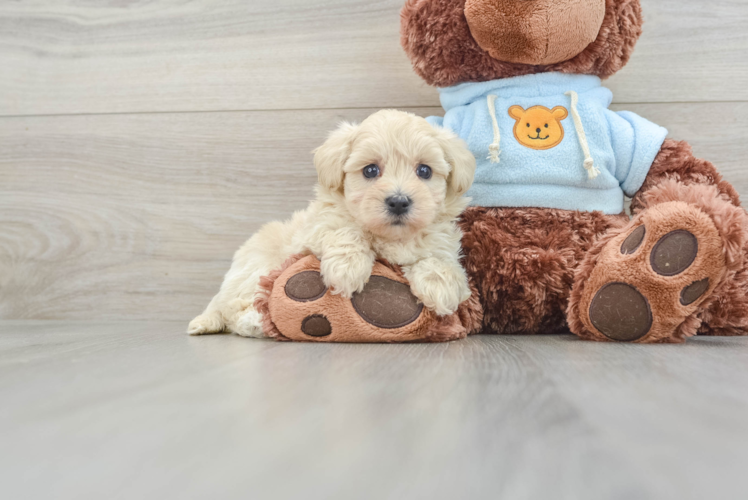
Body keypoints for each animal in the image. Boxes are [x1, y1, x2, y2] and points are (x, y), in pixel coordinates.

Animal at [190, 108, 476, 336]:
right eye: (370, 170)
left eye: (424, 171)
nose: (398, 201)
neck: (390, 237)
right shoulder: (315, 229)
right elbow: (345, 230)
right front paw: (348, 268)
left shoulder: (442, 240)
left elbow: (439, 258)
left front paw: (441, 287)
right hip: (254, 269)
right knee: (235, 309)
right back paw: (256, 322)